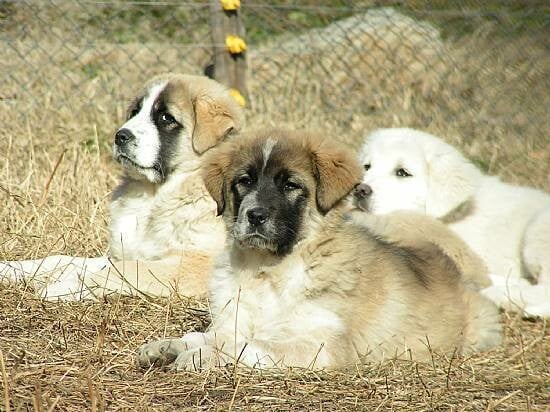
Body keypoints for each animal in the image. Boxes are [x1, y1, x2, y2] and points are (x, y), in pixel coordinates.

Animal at [0, 74, 246, 300]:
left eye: (166, 117)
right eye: (135, 112)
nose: (120, 136)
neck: (156, 196)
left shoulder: (195, 264)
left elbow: (123, 270)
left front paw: (65, 286)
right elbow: (64, 260)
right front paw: (11, 269)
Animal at [136, 129, 502, 370]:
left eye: (290, 185)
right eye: (245, 181)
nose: (255, 216)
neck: (268, 271)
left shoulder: (322, 345)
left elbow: (253, 346)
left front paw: (203, 357)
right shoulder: (233, 322)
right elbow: (206, 335)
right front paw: (167, 346)